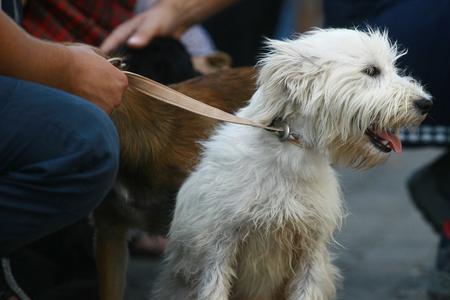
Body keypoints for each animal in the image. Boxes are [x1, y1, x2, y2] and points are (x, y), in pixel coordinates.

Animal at [154, 28, 432, 300]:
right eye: (371, 71)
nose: (426, 103)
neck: (288, 152)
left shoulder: (311, 249)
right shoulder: (217, 248)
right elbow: (214, 288)